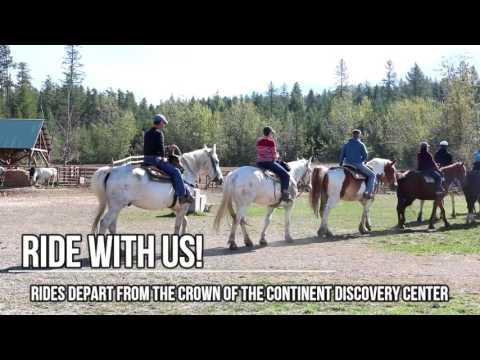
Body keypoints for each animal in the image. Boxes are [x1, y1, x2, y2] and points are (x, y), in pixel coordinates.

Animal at [91, 145, 224, 235]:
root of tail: (110, 170)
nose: (220, 180)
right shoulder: (183, 206)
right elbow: (178, 225)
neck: (185, 173)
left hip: (115, 206)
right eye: (216, 161)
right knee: (104, 223)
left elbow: (184, 223)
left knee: (112, 225)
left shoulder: (178, 208)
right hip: (116, 206)